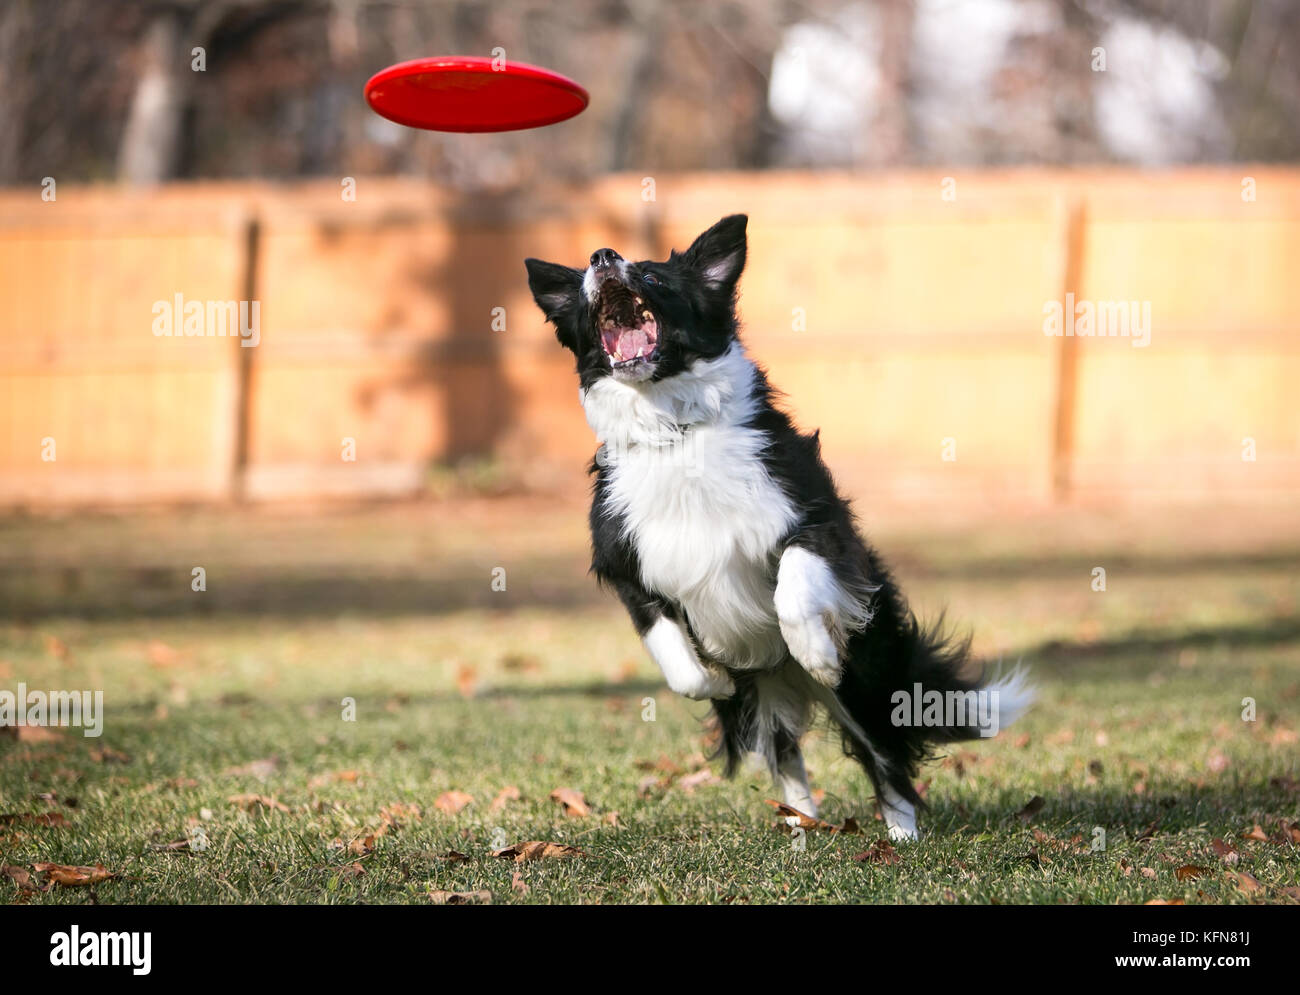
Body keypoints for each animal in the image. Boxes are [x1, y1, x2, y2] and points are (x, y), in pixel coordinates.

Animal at [522, 213, 1029, 832]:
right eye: (584, 285)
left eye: (652, 274)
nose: (600, 255)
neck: (676, 429)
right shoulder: (625, 565)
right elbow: (677, 660)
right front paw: (715, 676)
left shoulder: (817, 522)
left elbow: (794, 578)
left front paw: (815, 649)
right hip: (766, 700)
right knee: (786, 754)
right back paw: (798, 825)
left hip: (863, 680)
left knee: (885, 756)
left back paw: (901, 835)